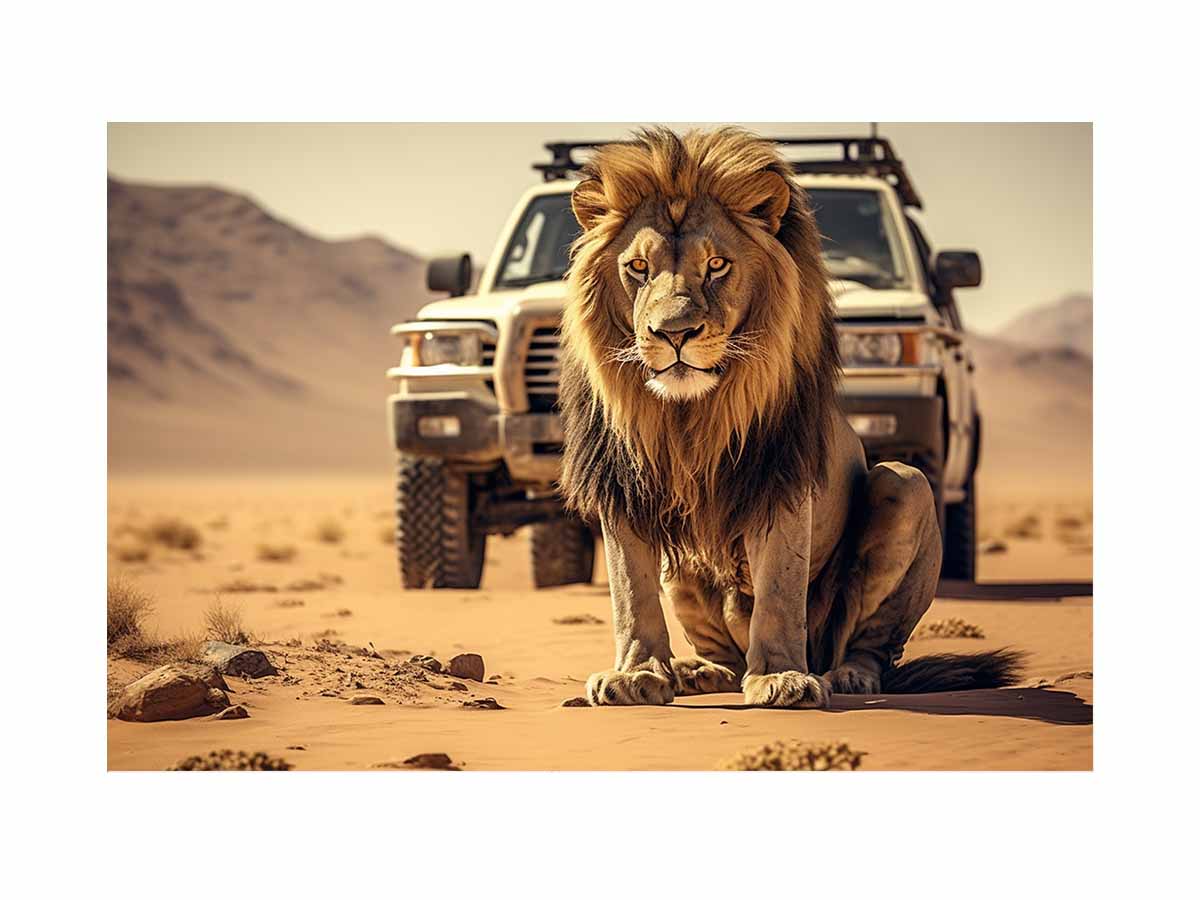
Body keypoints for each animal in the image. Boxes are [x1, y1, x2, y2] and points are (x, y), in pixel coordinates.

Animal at [558, 127, 1021, 708]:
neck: (692, 414)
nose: (674, 333)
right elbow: (630, 594)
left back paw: (847, 676)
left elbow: (779, 590)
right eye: (637, 269)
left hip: (905, 487)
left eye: (717, 265)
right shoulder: (623, 485)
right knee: (726, 654)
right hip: (684, 569)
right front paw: (637, 674)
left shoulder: (782, 477)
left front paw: (781, 677)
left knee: (871, 641)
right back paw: (698, 671)